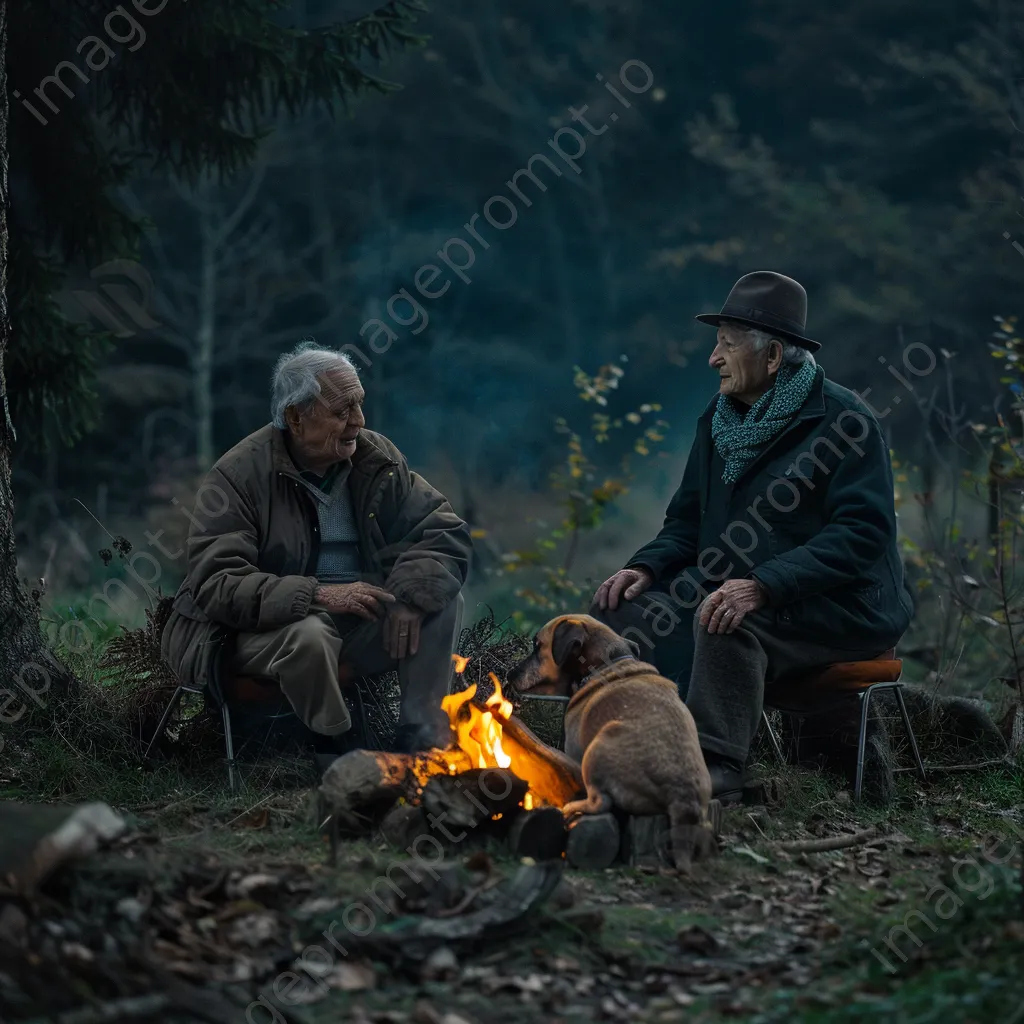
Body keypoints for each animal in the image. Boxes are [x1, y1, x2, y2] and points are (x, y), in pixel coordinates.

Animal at [507, 614, 716, 872]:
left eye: (537, 647)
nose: (510, 673)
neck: (605, 665)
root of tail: (683, 798)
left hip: (598, 748)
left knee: (600, 802)